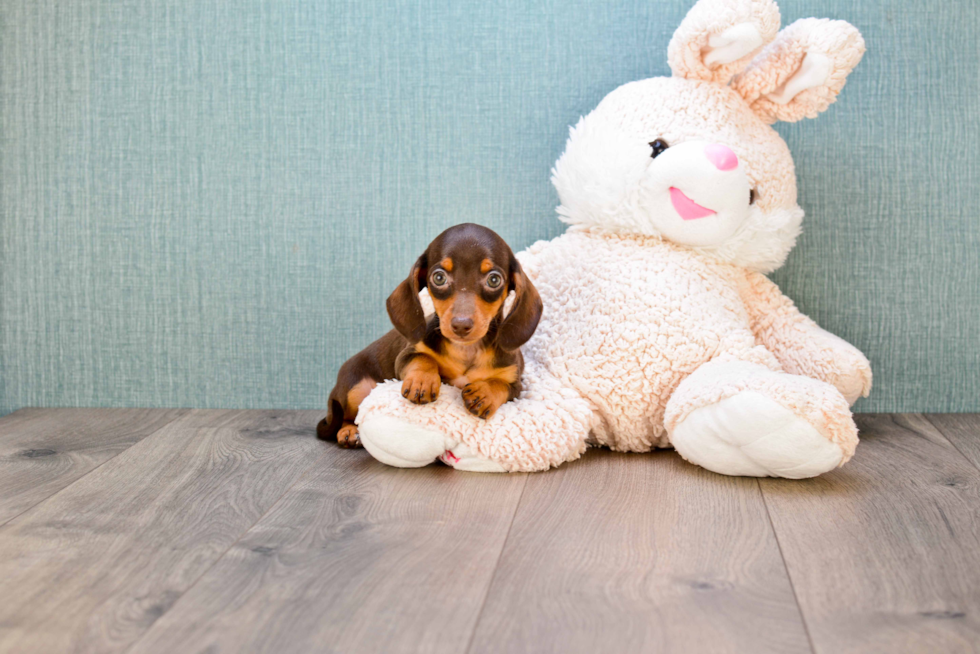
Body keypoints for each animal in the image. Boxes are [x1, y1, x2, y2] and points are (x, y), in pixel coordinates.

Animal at [318, 223, 544, 448]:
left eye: (494, 280)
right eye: (439, 277)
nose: (461, 325)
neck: (466, 350)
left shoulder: (515, 384)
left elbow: (500, 385)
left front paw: (485, 393)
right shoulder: (405, 356)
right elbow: (423, 358)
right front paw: (422, 381)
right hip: (356, 389)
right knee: (347, 416)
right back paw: (348, 431)